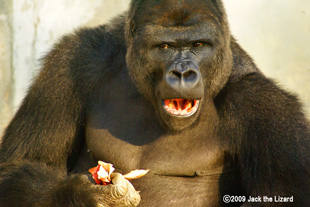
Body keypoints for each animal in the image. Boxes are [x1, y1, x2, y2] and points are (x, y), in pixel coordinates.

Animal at [0, 0, 310, 207]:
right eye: (165, 46)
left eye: (198, 45)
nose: (183, 73)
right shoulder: (72, 62)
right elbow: (19, 165)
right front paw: (84, 196)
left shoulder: (266, 107)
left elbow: (287, 192)